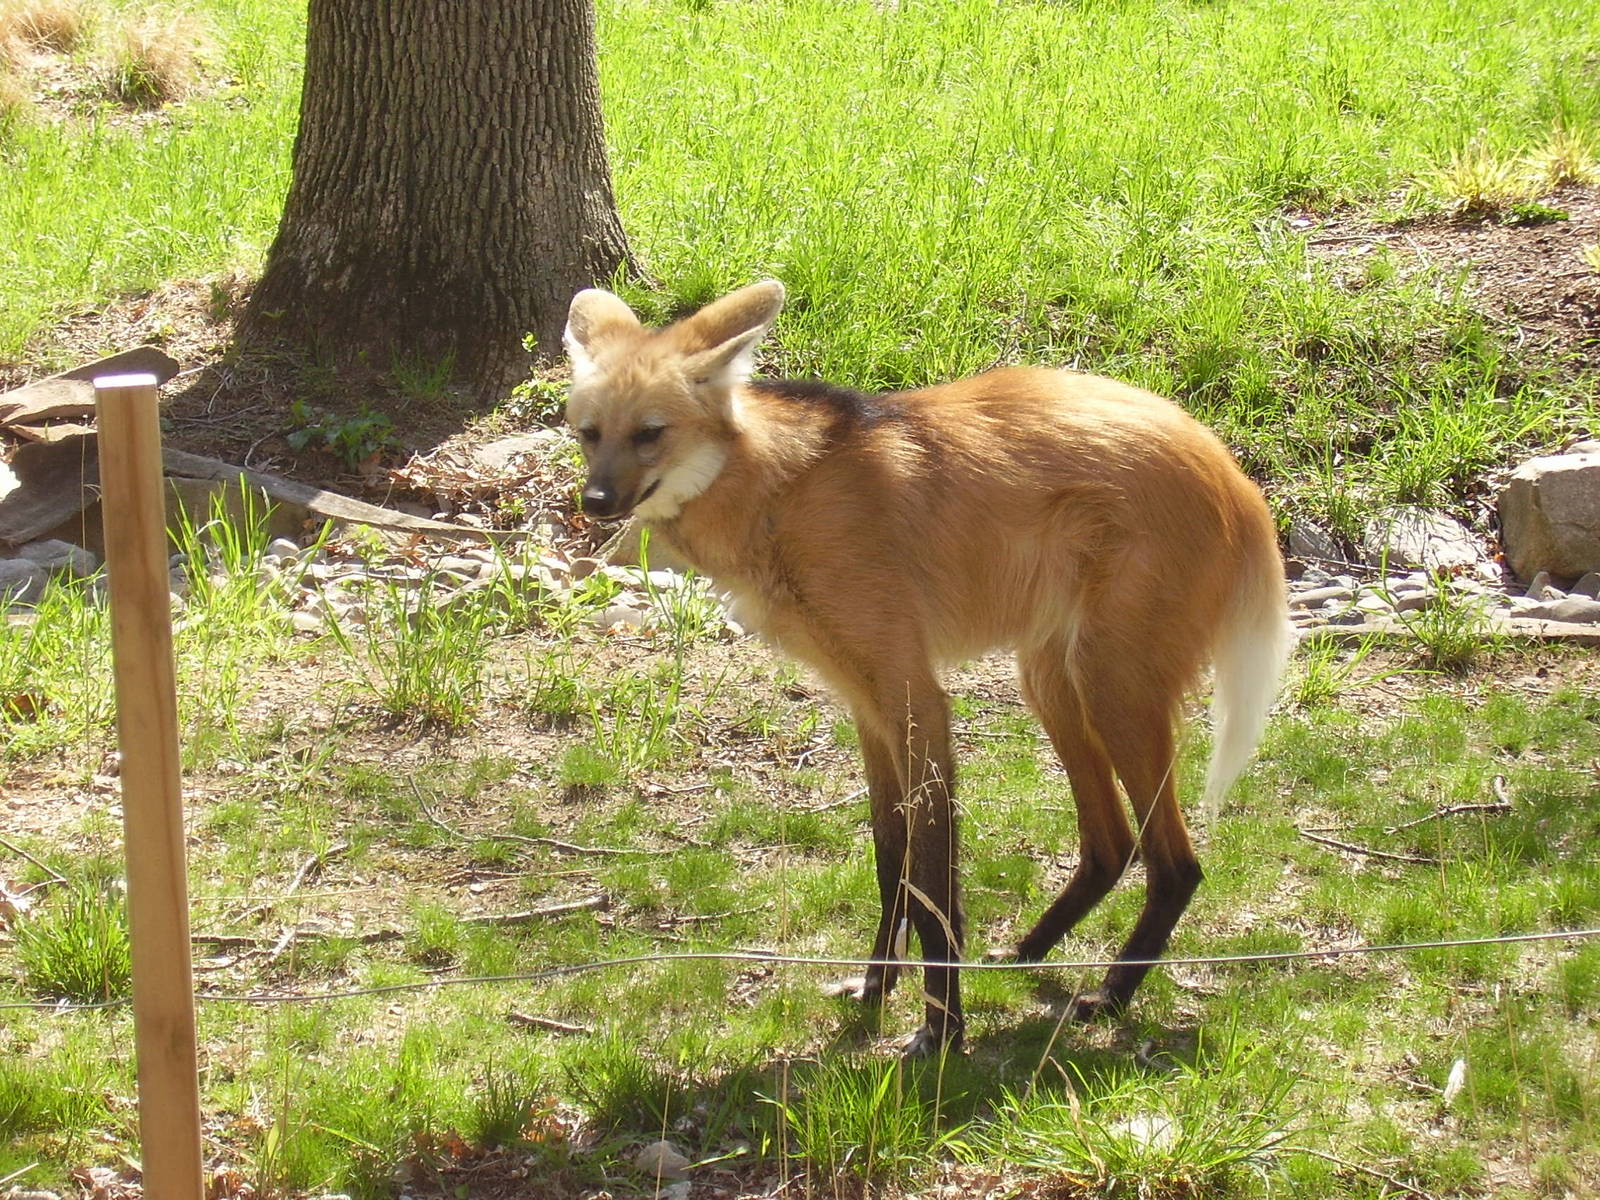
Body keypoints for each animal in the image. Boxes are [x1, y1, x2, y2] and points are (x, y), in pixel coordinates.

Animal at [563, 280, 1289, 1054]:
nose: (596, 502)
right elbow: (893, 857)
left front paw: (941, 1029)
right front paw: (875, 988)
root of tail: (1227, 465)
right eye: (590, 434)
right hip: (1052, 678)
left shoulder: (911, 693)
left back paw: (1111, 994)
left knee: (1175, 862)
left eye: (650, 433)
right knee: (1112, 842)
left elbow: (932, 867)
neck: (777, 493)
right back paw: (1029, 951)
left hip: (1111, 685)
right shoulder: (865, 699)